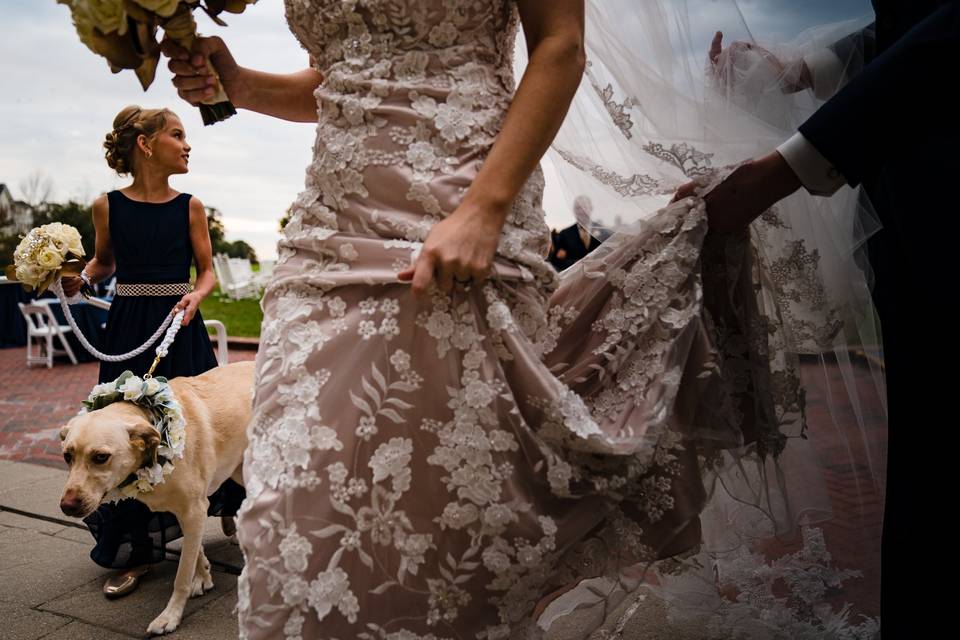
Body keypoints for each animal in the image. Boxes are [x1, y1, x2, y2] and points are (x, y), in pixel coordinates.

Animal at [59, 360, 255, 636]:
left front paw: (170, 616)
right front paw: (203, 576)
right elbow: (193, 551)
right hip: (239, 471)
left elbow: (181, 575)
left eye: (100, 457)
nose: (67, 506)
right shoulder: (188, 512)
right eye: (67, 456)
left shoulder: (194, 510)